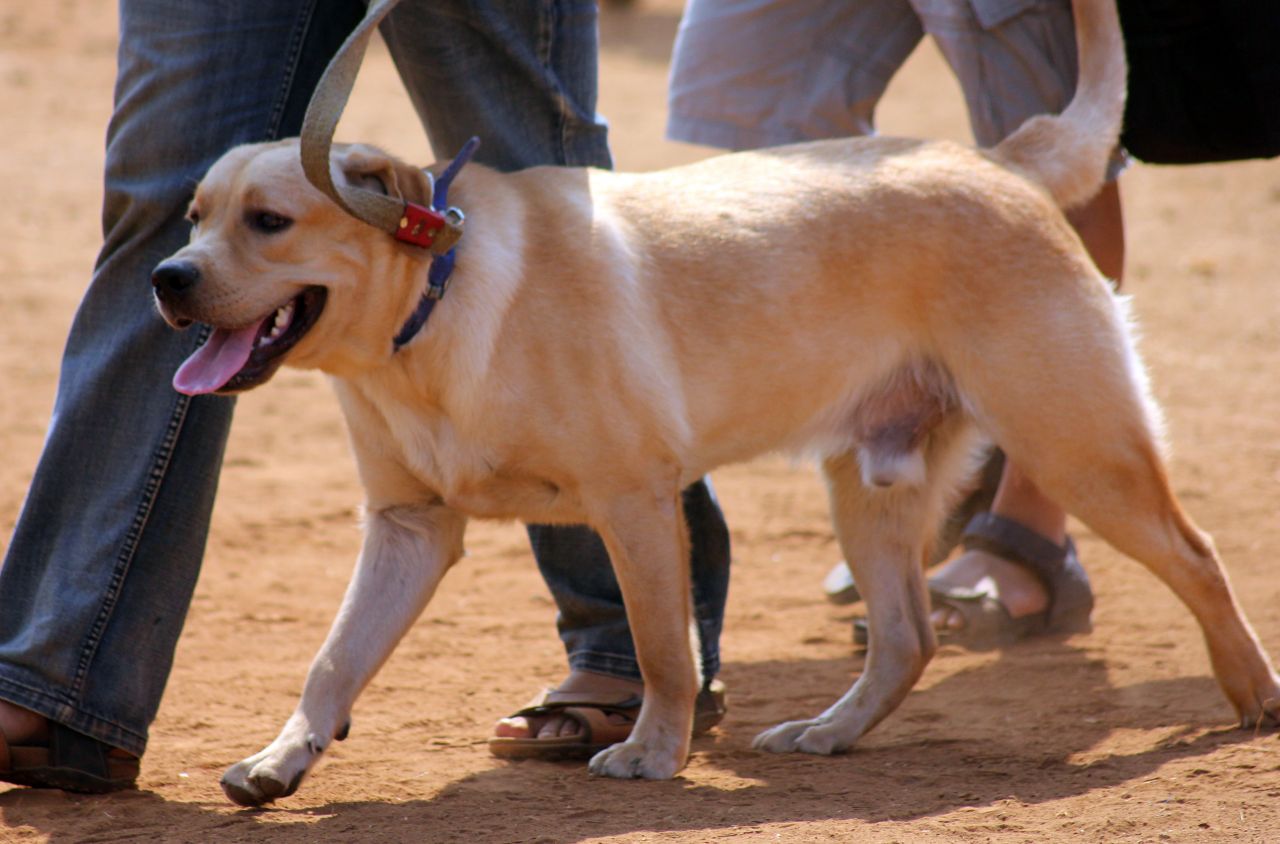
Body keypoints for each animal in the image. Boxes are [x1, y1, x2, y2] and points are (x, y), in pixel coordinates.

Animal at [152, 0, 1280, 809]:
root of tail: (999, 159)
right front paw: (280, 758)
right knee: (907, 639)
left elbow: (663, 649)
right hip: (872, 484)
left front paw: (654, 751)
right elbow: (332, 660)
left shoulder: (636, 503)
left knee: (1199, 556)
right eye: (193, 217)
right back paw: (827, 731)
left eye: (268, 221)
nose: (165, 279)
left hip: (1077, 445)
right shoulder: (407, 529)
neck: (430, 318)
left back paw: (1253, 697)